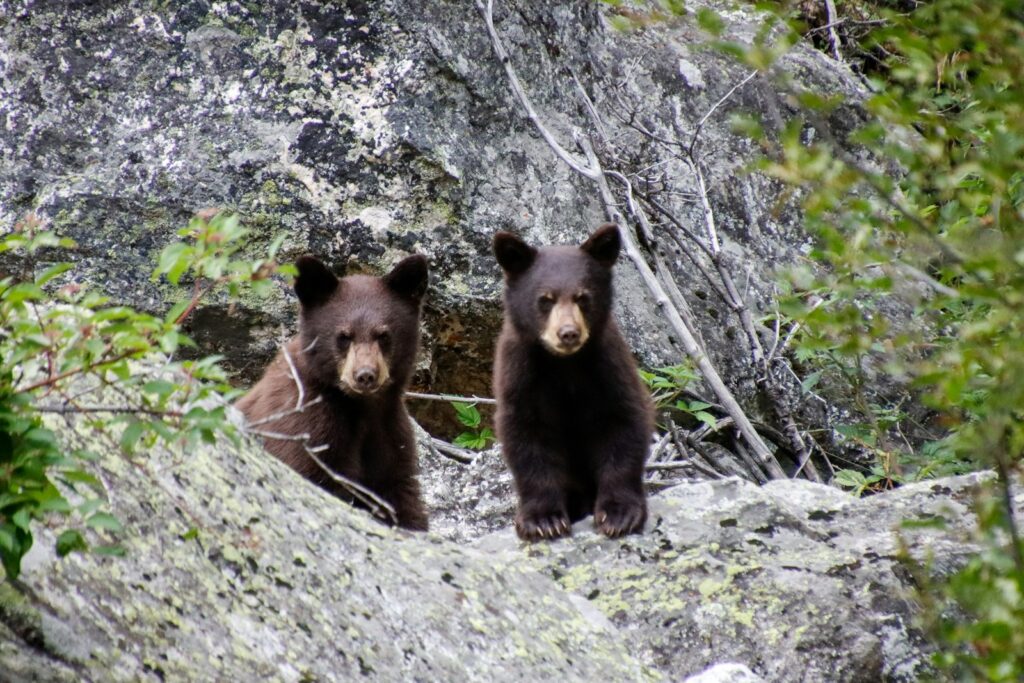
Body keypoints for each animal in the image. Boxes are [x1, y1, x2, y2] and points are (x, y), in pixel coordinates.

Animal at [236, 254, 430, 531]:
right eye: (344, 336)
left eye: (383, 335)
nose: (365, 375)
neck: (361, 407)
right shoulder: (304, 423)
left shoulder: (390, 431)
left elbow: (400, 494)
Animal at [492, 223, 654, 541]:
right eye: (545, 299)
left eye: (582, 297)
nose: (568, 333)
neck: (564, 366)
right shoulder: (521, 377)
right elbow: (527, 440)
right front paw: (543, 519)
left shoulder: (608, 369)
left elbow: (624, 426)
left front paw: (620, 513)